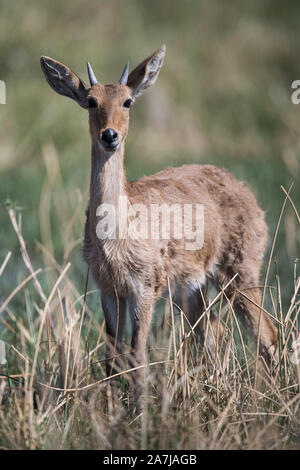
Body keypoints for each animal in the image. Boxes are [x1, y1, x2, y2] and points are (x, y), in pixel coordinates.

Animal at [40, 45, 278, 404]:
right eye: (91, 100)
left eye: (128, 101)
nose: (109, 135)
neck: (116, 233)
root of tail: (250, 194)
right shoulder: (108, 289)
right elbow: (112, 356)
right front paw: (114, 410)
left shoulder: (145, 287)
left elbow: (137, 354)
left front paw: (140, 412)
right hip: (193, 287)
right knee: (214, 332)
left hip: (240, 272)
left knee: (266, 333)